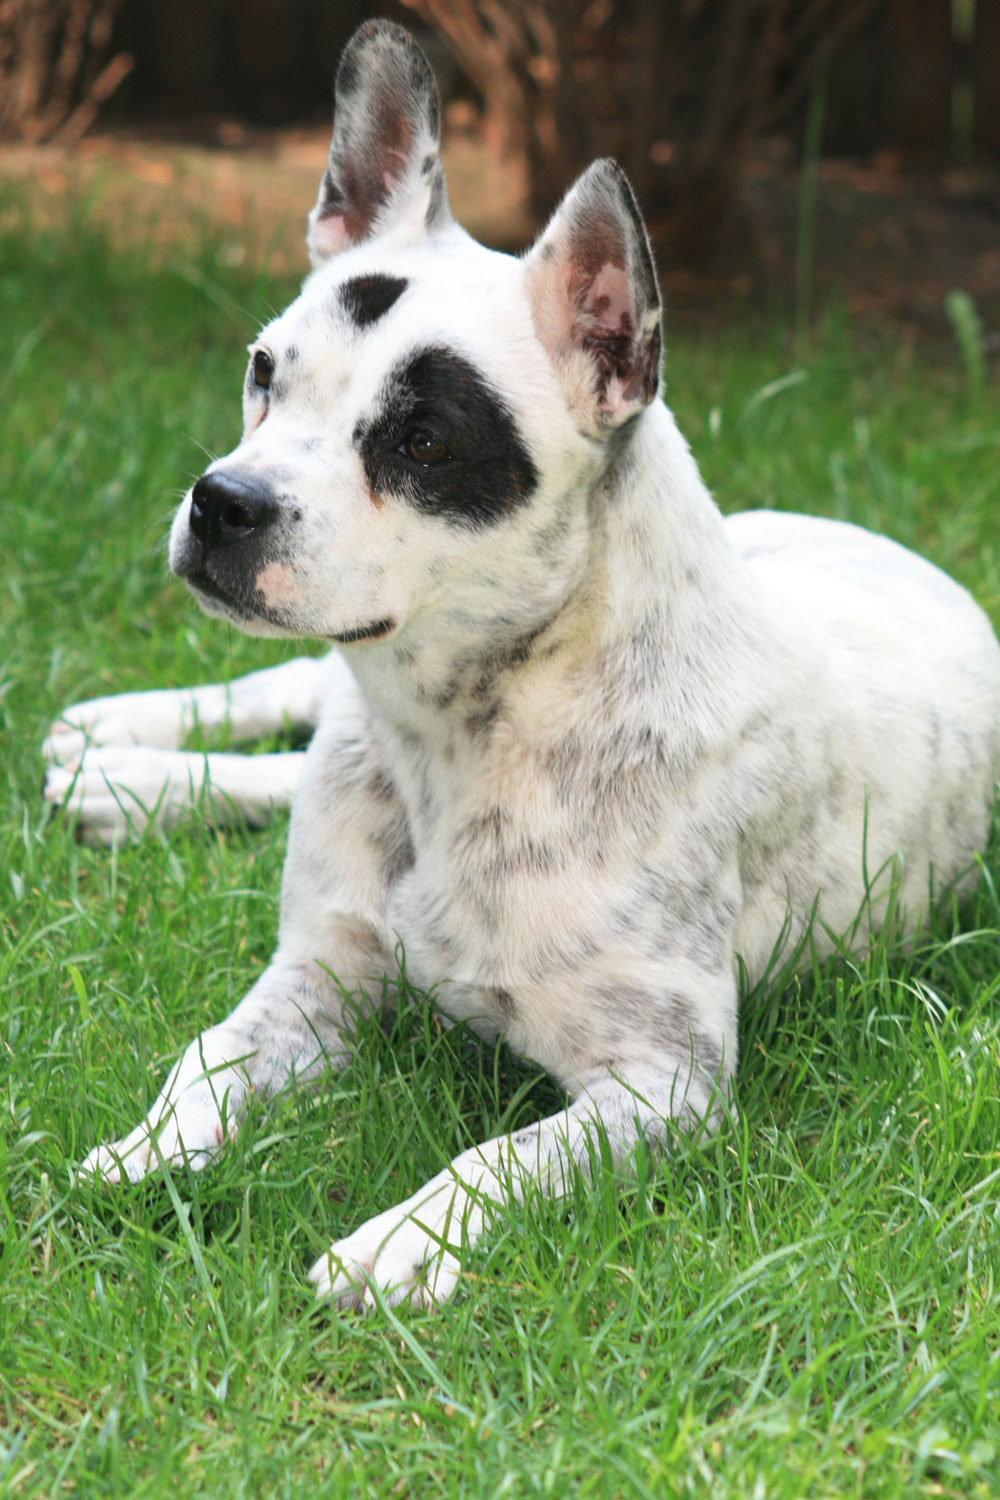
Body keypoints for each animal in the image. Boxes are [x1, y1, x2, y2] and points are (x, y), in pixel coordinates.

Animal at [54, 20, 1000, 1314]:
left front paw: (399, 1240)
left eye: (423, 442)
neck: (459, 732)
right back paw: (120, 754)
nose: (223, 501)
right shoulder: (315, 979)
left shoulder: (656, 1083)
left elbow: (503, 1158)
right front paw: (148, 1147)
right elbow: (208, 1059)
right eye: (263, 372)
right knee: (276, 707)